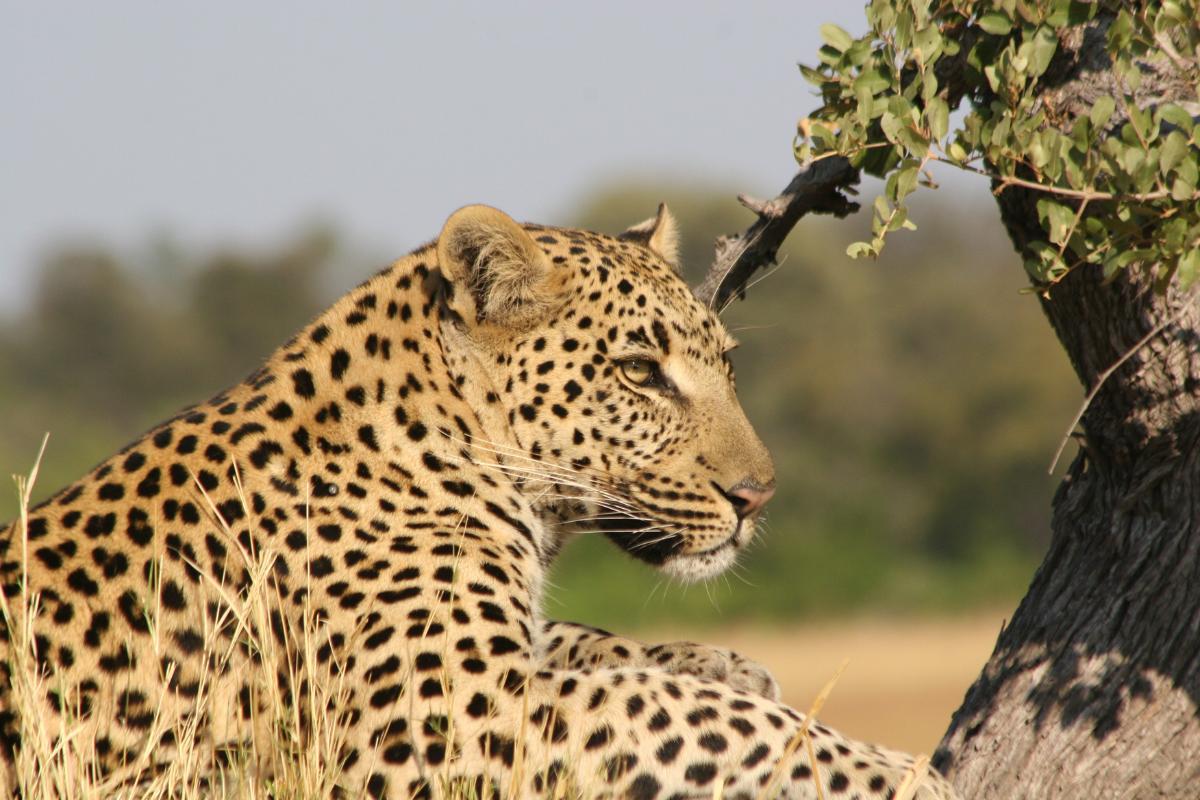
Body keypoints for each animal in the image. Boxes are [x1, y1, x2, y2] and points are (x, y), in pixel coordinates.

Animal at [0, 203, 960, 799]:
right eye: (639, 372)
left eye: (725, 363)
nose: (758, 495)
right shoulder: (444, 718)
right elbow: (695, 718)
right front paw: (906, 775)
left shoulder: (494, 661)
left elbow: (596, 646)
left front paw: (722, 662)